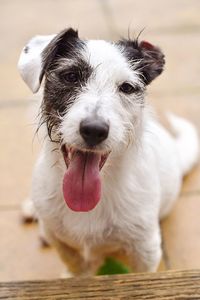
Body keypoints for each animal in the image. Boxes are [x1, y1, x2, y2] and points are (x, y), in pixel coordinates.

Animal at [18, 29, 199, 276]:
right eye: (71, 76)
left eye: (127, 87)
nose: (94, 130)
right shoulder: (58, 237)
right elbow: (74, 262)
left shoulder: (146, 251)